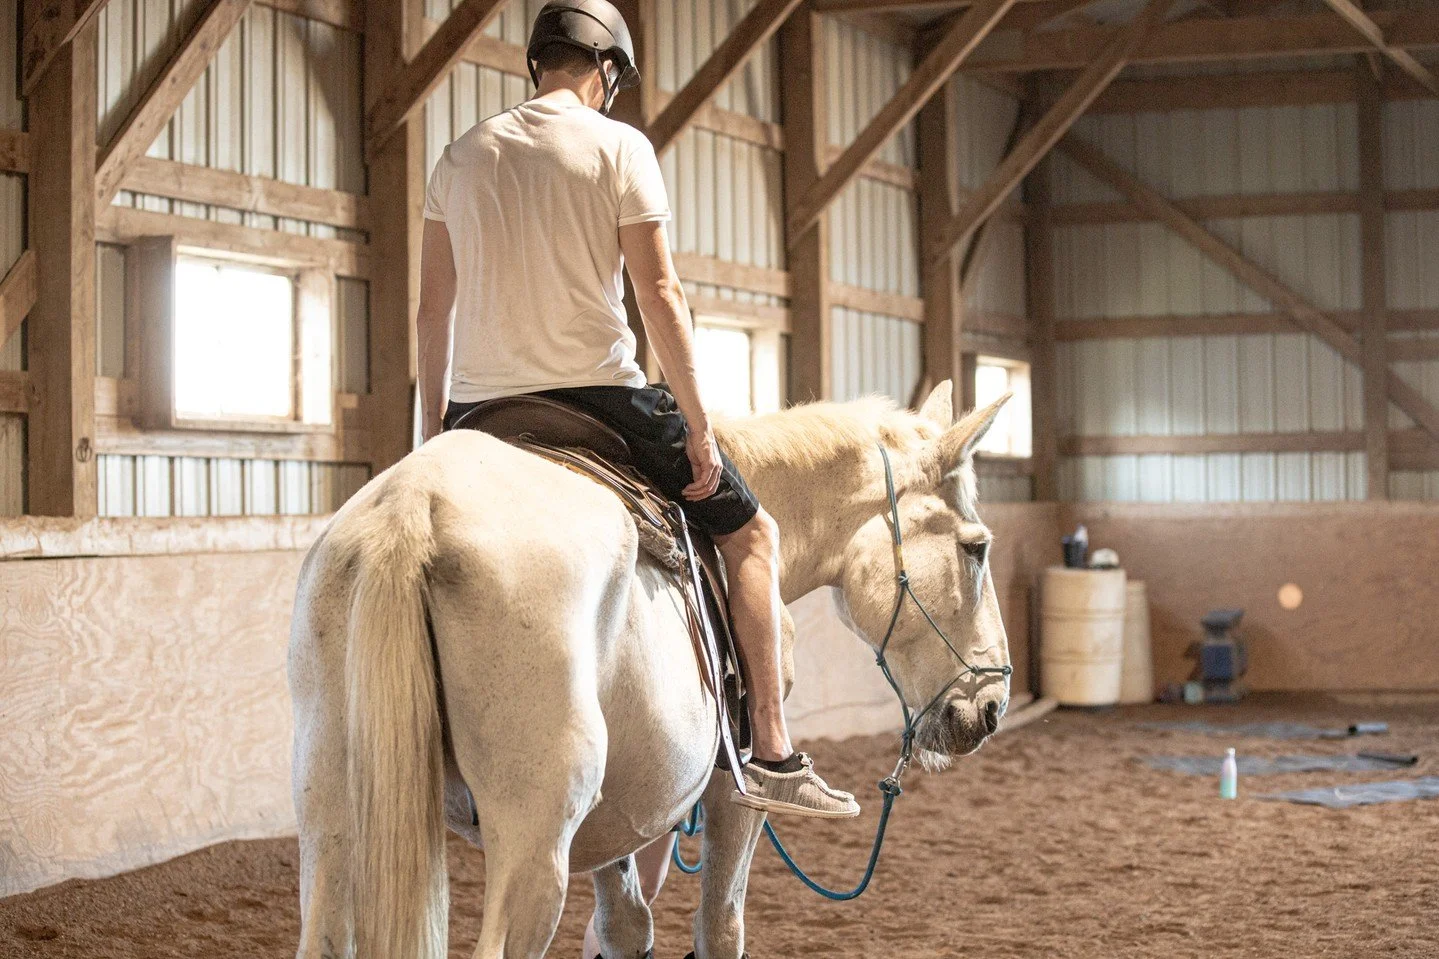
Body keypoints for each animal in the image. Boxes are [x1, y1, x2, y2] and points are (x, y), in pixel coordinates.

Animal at [288, 380, 1012, 959]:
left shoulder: (618, 818)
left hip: (331, 825)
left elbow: (625, 926)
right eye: (975, 548)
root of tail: (413, 509)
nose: (992, 707)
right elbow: (720, 926)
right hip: (532, 846)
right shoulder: (733, 790)